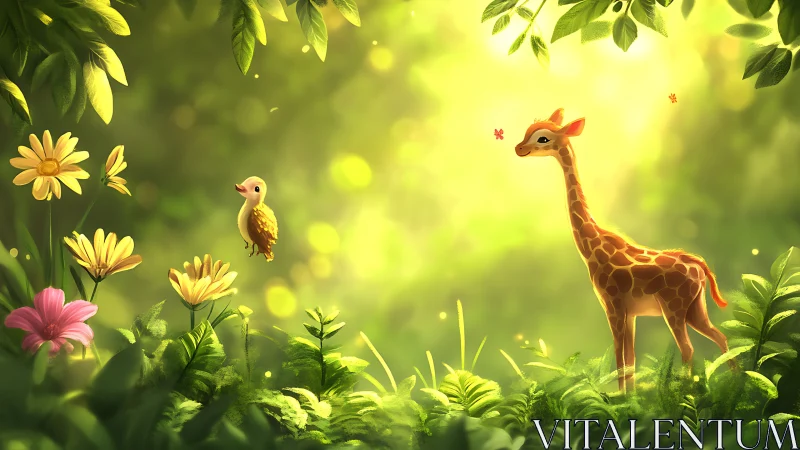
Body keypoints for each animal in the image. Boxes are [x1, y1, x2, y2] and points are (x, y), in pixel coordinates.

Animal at [514, 108, 732, 392]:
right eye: (527, 131)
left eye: (542, 138)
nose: (518, 148)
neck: (591, 248)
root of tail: (700, 265)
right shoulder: (629, 312)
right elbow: (630, 359)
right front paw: (630, 397)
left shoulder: (613, 305)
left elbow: (620, 358)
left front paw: (621, 397)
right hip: (695, 307)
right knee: (720, 336)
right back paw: (738, 381)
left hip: (674, 308)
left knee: (688, 348)